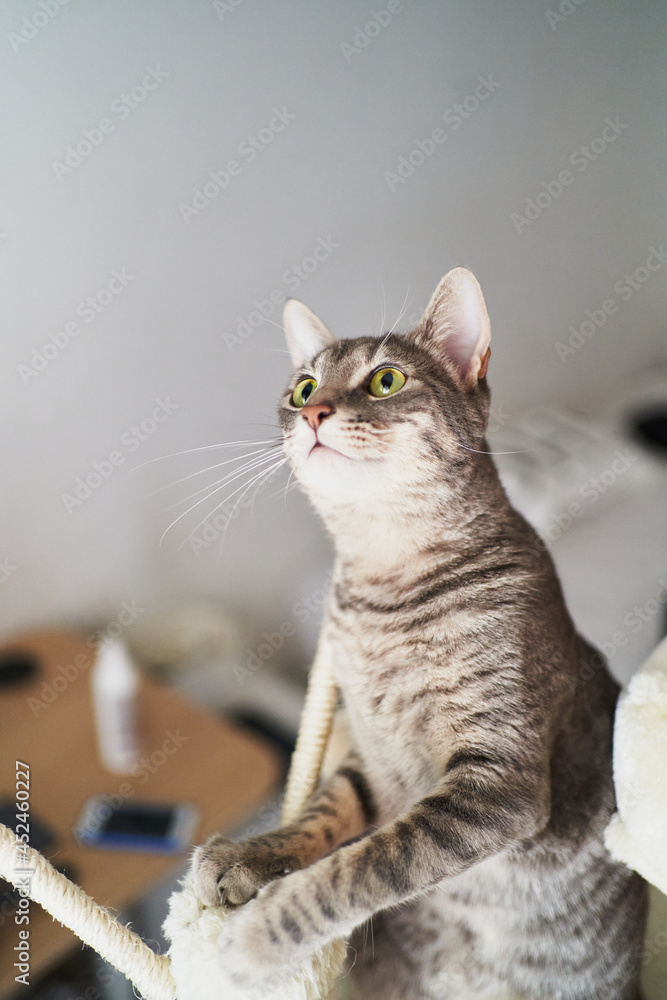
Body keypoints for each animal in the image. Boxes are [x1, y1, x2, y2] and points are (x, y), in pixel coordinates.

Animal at [192, 268, 648, 1000]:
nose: (315, 413)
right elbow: (321, 815)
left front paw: (258, 938)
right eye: (303, 389)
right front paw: (248, 856)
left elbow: (364, 866)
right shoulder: (369, 757)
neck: (382, 590)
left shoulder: (495, 785)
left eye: (384, 380)